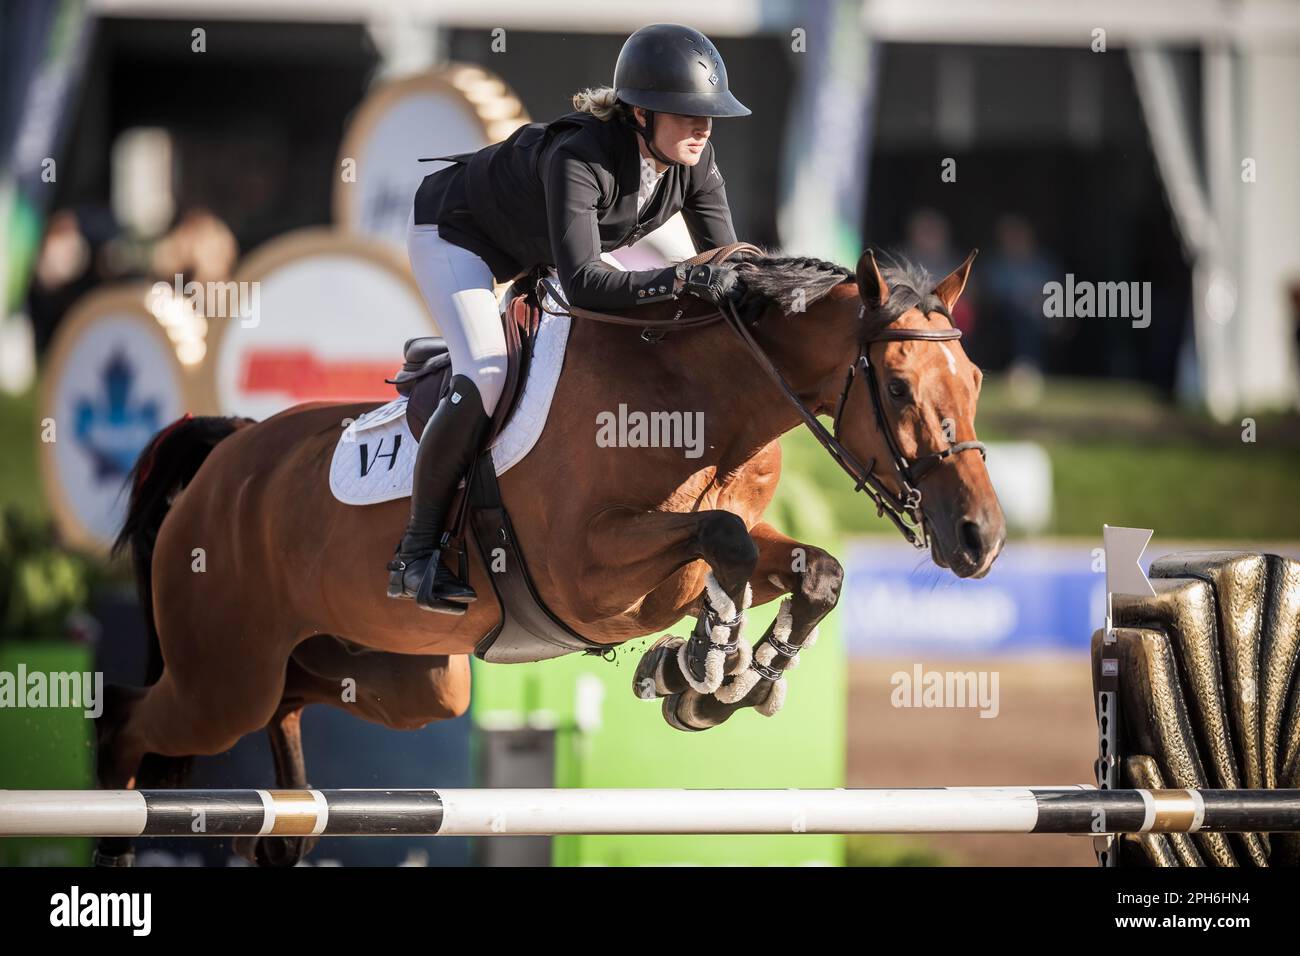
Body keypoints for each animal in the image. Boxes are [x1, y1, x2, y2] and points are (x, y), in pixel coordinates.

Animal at [96, 247, 1003, 868]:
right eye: (896, 387)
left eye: (975, 379)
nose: (981, 538)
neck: (703, 402)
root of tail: (228, 452)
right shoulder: (589, 575)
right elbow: (723, 543)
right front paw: (700, 670)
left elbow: (812, 569)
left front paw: (729, 679)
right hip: (222, 680)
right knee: (132, 721)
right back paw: (116, 839)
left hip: (405, 679)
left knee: (294, 705)